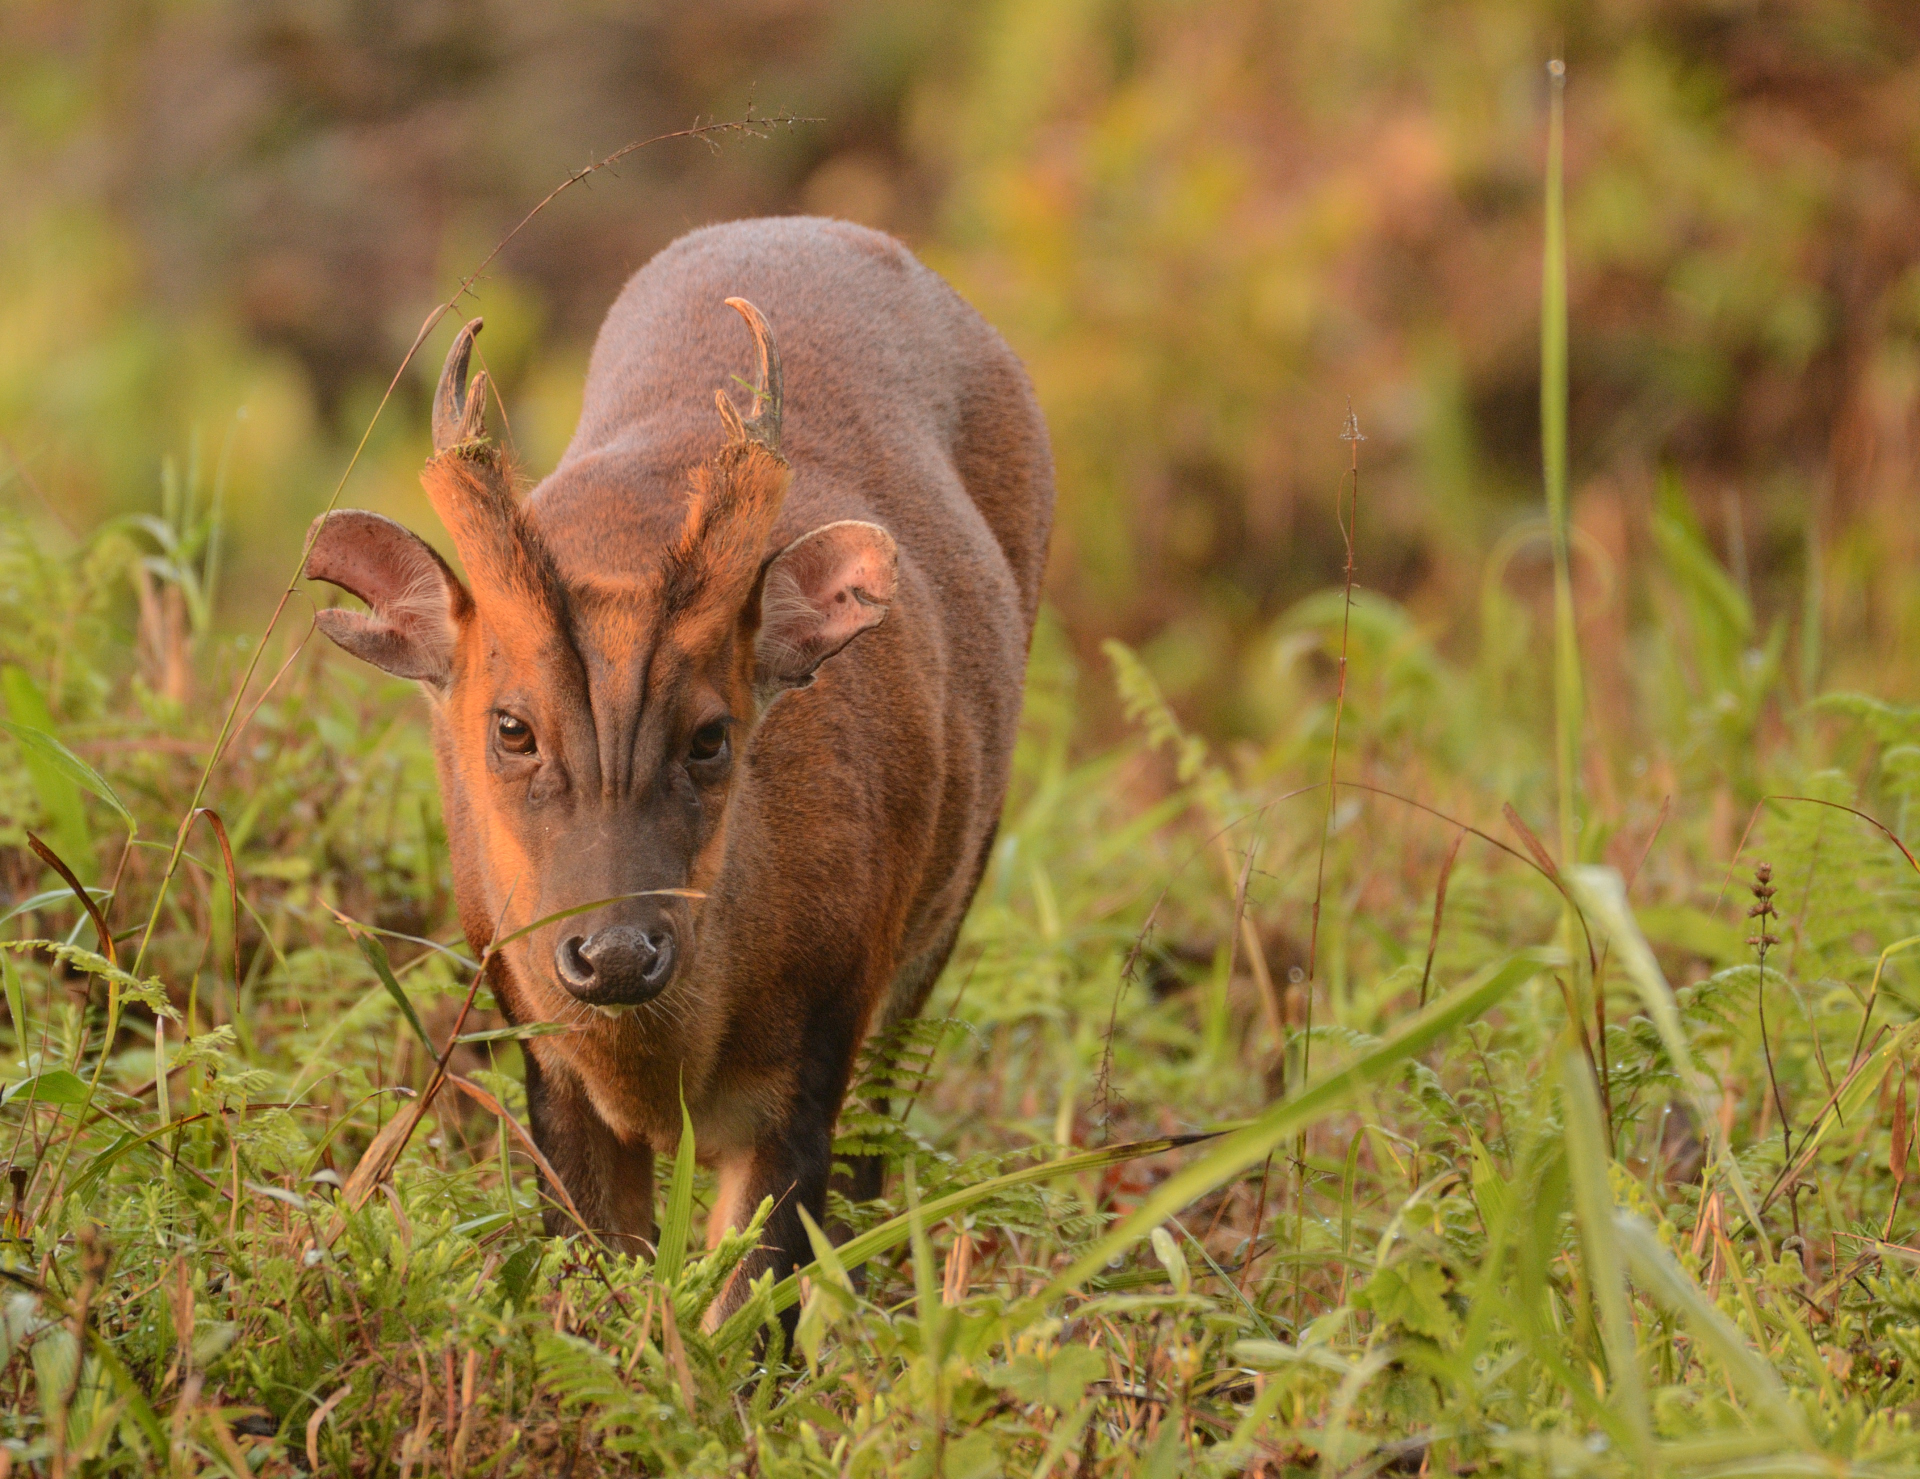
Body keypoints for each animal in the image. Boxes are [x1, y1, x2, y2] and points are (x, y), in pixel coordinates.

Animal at [303, 216, 1054, 1326]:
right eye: (511, 726)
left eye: (711, 735)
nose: (616, 954)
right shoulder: (536, 1041)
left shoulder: (816, 1047)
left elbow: (745, 1315)